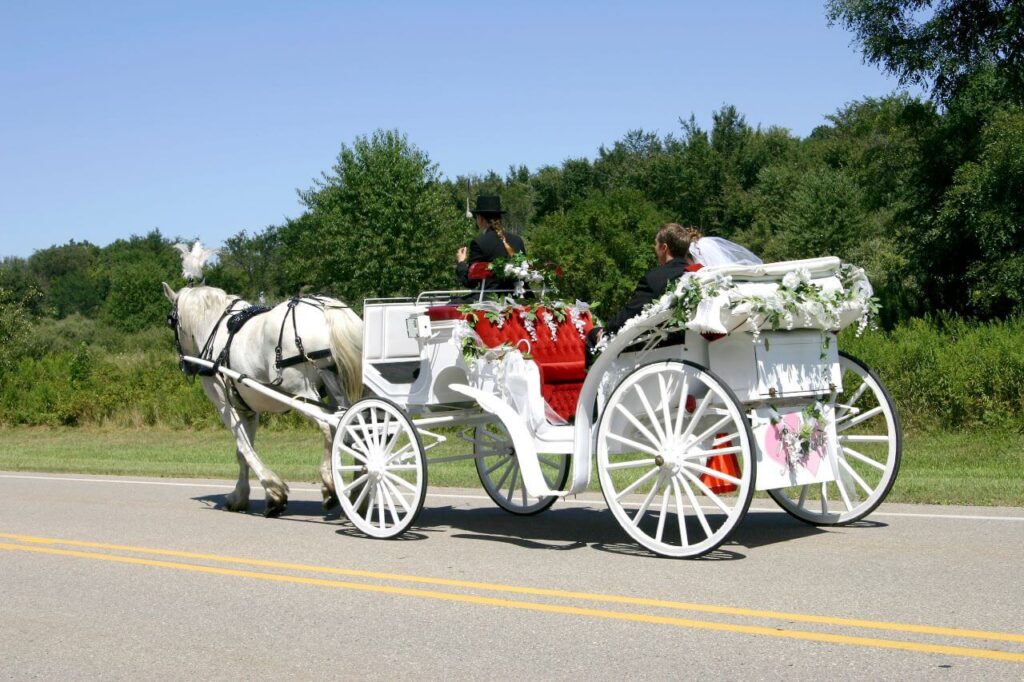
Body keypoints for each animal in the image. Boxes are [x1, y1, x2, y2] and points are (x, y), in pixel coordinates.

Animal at [161, 278, 362, 512]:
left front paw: (273, 492)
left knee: (330, 427)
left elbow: (244, 447)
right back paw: (358, 491)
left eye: (171, 322)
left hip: (301, 389)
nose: (186, 366)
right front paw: (242, 495)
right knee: (356, 428)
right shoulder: (248, 409)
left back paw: (330, 485)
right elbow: (243, 452)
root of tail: (325, 308)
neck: (214, 328)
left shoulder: (225, 405)